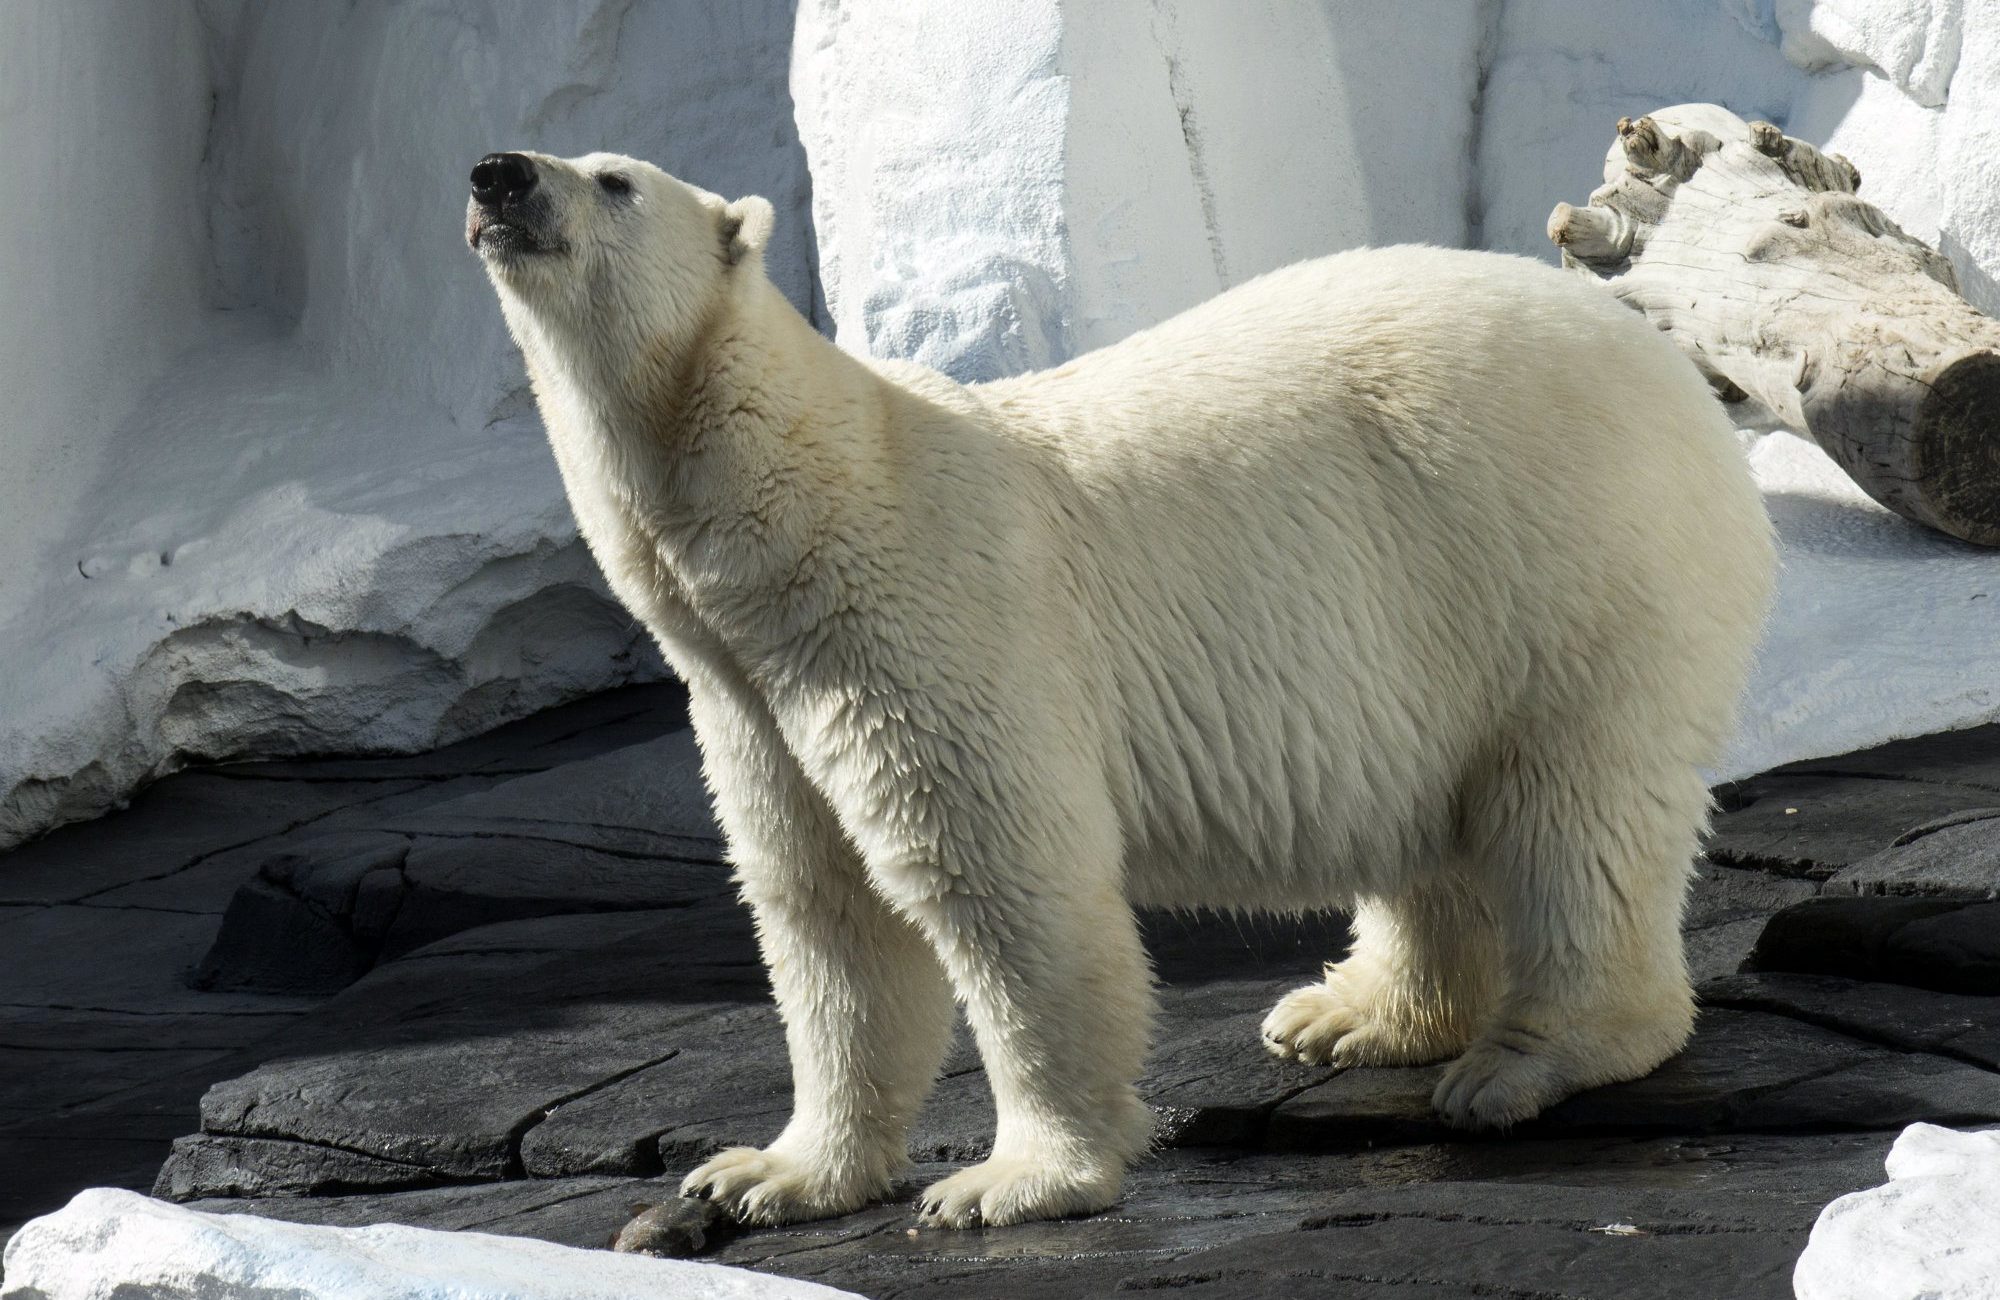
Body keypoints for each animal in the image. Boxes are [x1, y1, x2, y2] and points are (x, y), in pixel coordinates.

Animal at [472, 149, 1784, 1224]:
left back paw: (1523, 1059)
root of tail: (1672, 371)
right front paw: (766, 1172)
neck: (801, 512)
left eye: (612, 179)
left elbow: (1004, 884)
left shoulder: (928, 628)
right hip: (1438, 628)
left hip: (1566, 572)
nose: (498, 174)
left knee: (1574, 812)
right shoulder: (754, 702)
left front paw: (1009, 1181)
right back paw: (1349, 1012)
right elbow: (822, 911)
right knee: (1436, 820)